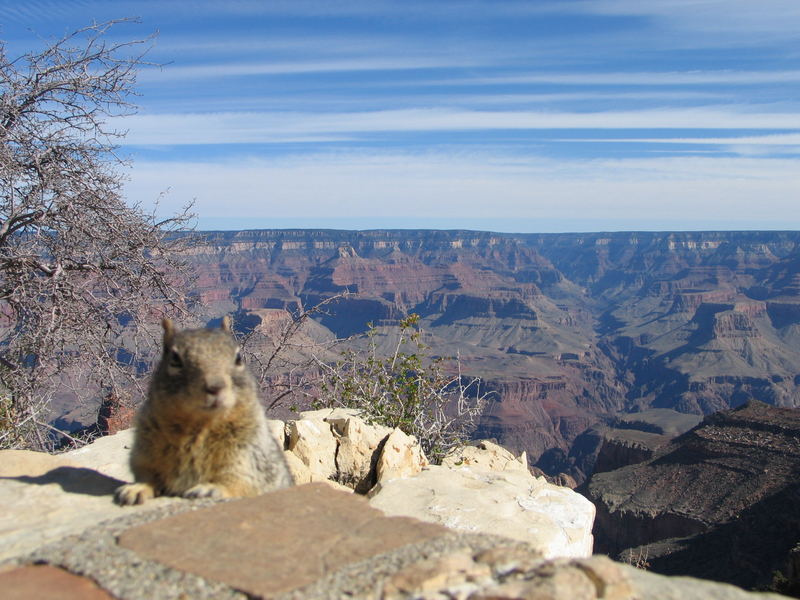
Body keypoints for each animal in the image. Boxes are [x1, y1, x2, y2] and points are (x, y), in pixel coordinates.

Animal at [115, 316, 294, 504]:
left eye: (238, 358)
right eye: (175, 359)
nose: (215, 387)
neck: (199, 423)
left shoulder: (247, 452)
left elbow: (239, 479)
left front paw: (211, 489)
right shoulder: (145, 450)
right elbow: (147, 474)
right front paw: (135, 489)